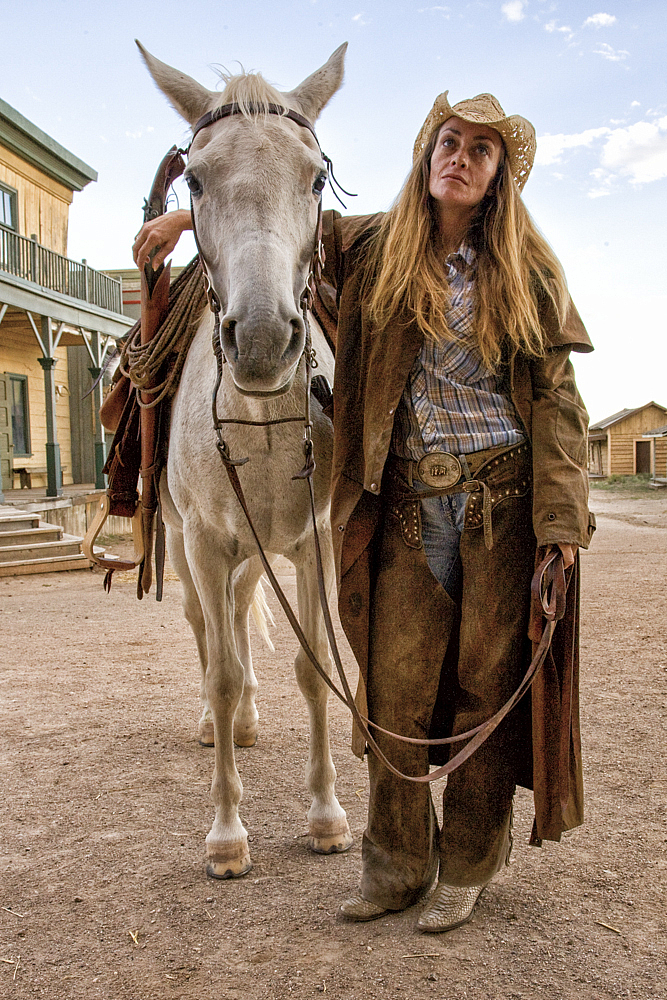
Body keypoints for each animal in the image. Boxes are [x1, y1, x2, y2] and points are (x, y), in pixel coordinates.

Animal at [138, 43, 352, 880]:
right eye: (194, 179)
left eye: (316, 177)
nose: (262, 340)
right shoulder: (203, 542)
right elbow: (222, 670)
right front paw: (227, 834)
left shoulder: (313, 543)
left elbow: (314, 668)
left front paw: (326, 815)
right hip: (190, 545)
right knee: (208, 628)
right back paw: (215, 725)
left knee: (234, 613)